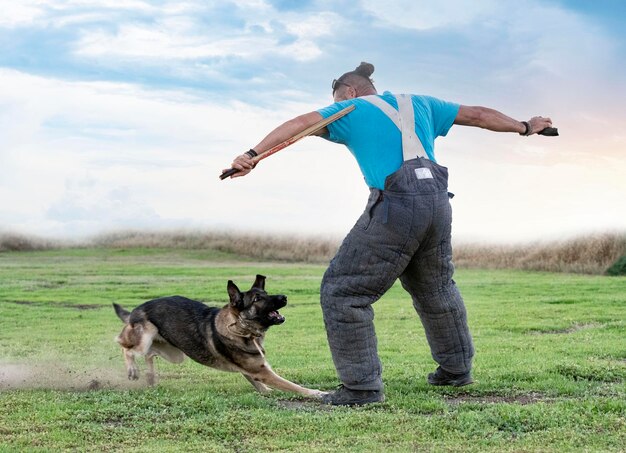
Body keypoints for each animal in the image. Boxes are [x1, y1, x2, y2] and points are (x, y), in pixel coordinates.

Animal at [112, 274, 324, 398]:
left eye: (266, 292)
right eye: (257, 299)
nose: (285, 297)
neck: (240, 327)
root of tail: (135, 310)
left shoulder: (253, 370)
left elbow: (256, 382)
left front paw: (266, 391)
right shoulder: (262, 371)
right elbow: (292, 386)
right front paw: (317, 393)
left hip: (174, 354)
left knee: (148, 354)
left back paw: (150, 377)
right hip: (146, 334)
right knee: (125, 346)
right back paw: (133, 370)